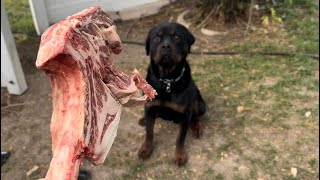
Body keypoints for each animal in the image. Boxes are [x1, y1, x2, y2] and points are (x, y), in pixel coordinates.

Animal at [139, 22, 206, 166]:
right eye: (156, 38)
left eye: (176, 37)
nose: (165, 46)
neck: (168, 80)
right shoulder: (150, 106)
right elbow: (149, 132)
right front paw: (146, 149)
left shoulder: (185, 114)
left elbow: (180, 138)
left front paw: (179, 155)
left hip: (200, 104)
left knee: (196, 115)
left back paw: (197, 127)